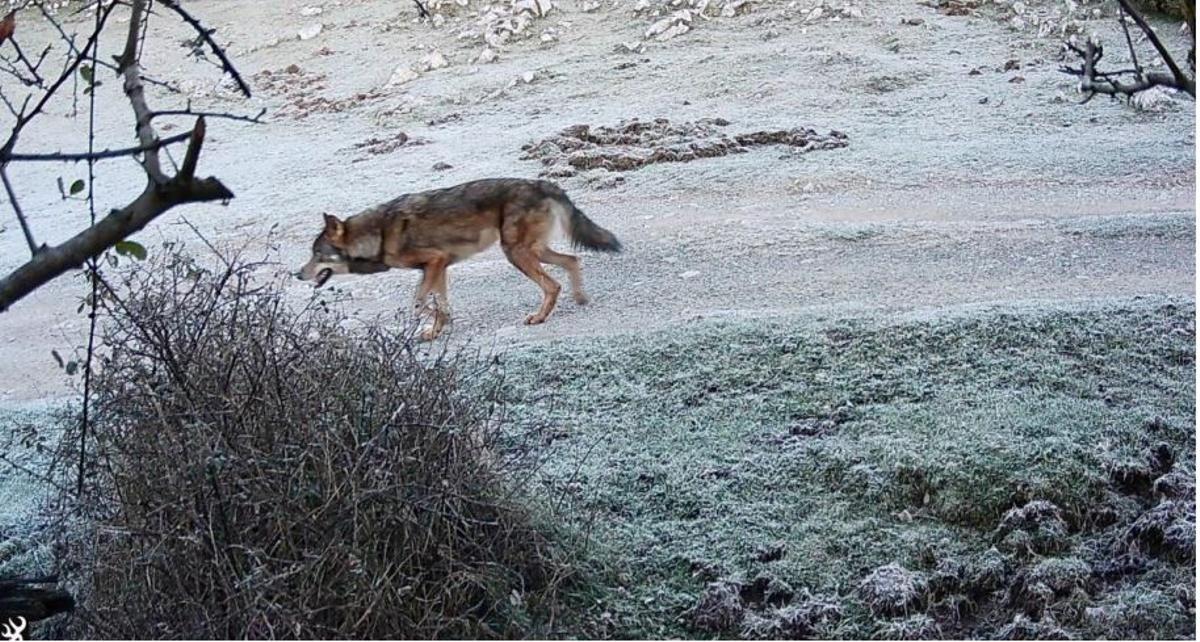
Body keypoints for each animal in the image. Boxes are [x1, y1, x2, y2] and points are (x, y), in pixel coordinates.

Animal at [297, 178, 622, 340]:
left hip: (516, 253)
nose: (298, 274)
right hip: (532, 251)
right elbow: (439, 304)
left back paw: (540, 317)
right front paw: (437, 329)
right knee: (572, 260)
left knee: (552, 285)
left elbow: (418, 303)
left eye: (316, 254)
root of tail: (545, 184)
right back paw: (580, 299)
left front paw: (434, 325)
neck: (379, 233)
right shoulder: (439, 268)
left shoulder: (434, 262)